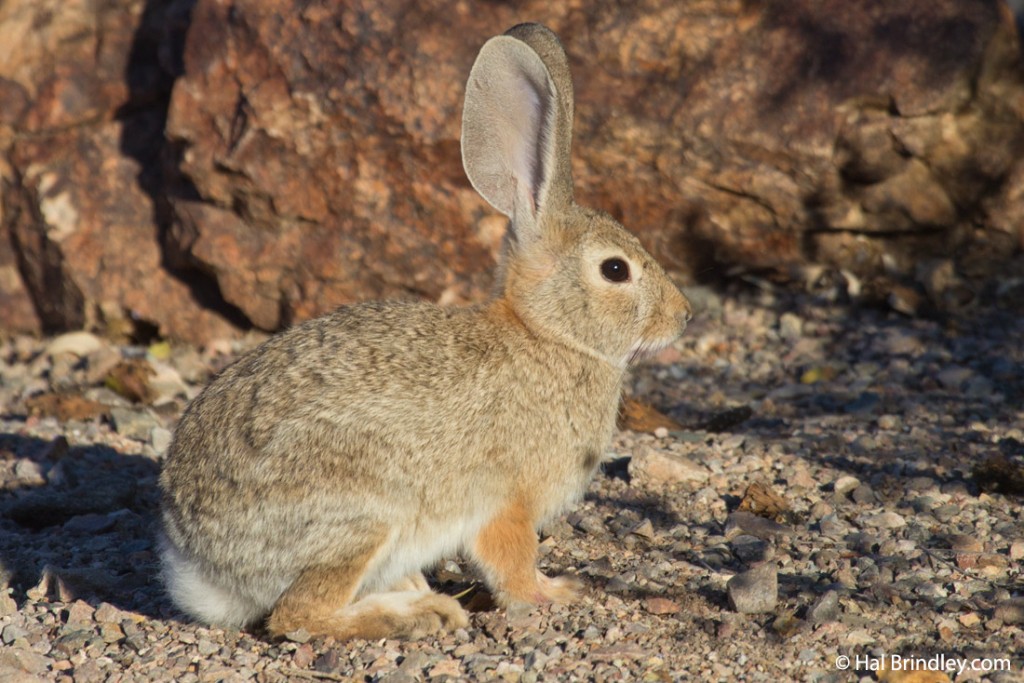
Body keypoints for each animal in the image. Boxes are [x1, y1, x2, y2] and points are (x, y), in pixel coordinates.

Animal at [159, 21, 692, 643]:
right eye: (614, 270)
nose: (683, 315)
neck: (549, 334)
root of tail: (197, 559)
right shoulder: (506, 501)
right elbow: (512, 562)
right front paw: (555, 592)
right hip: (363, 515)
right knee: (299, 615)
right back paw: (422, 614)